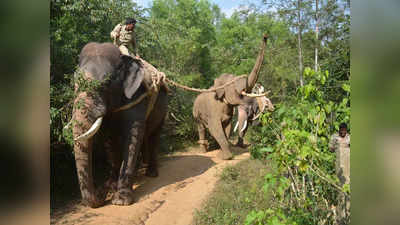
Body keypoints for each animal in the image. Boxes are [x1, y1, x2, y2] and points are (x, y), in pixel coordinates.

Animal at [70, 41, 167, 207]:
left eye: (105, 84)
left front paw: (120, 201)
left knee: (154, 136)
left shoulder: (137, 96)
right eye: (75, 85)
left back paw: (151, 174)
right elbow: (109, 140)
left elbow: (132, 136)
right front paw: (111, 186)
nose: (101, 194)